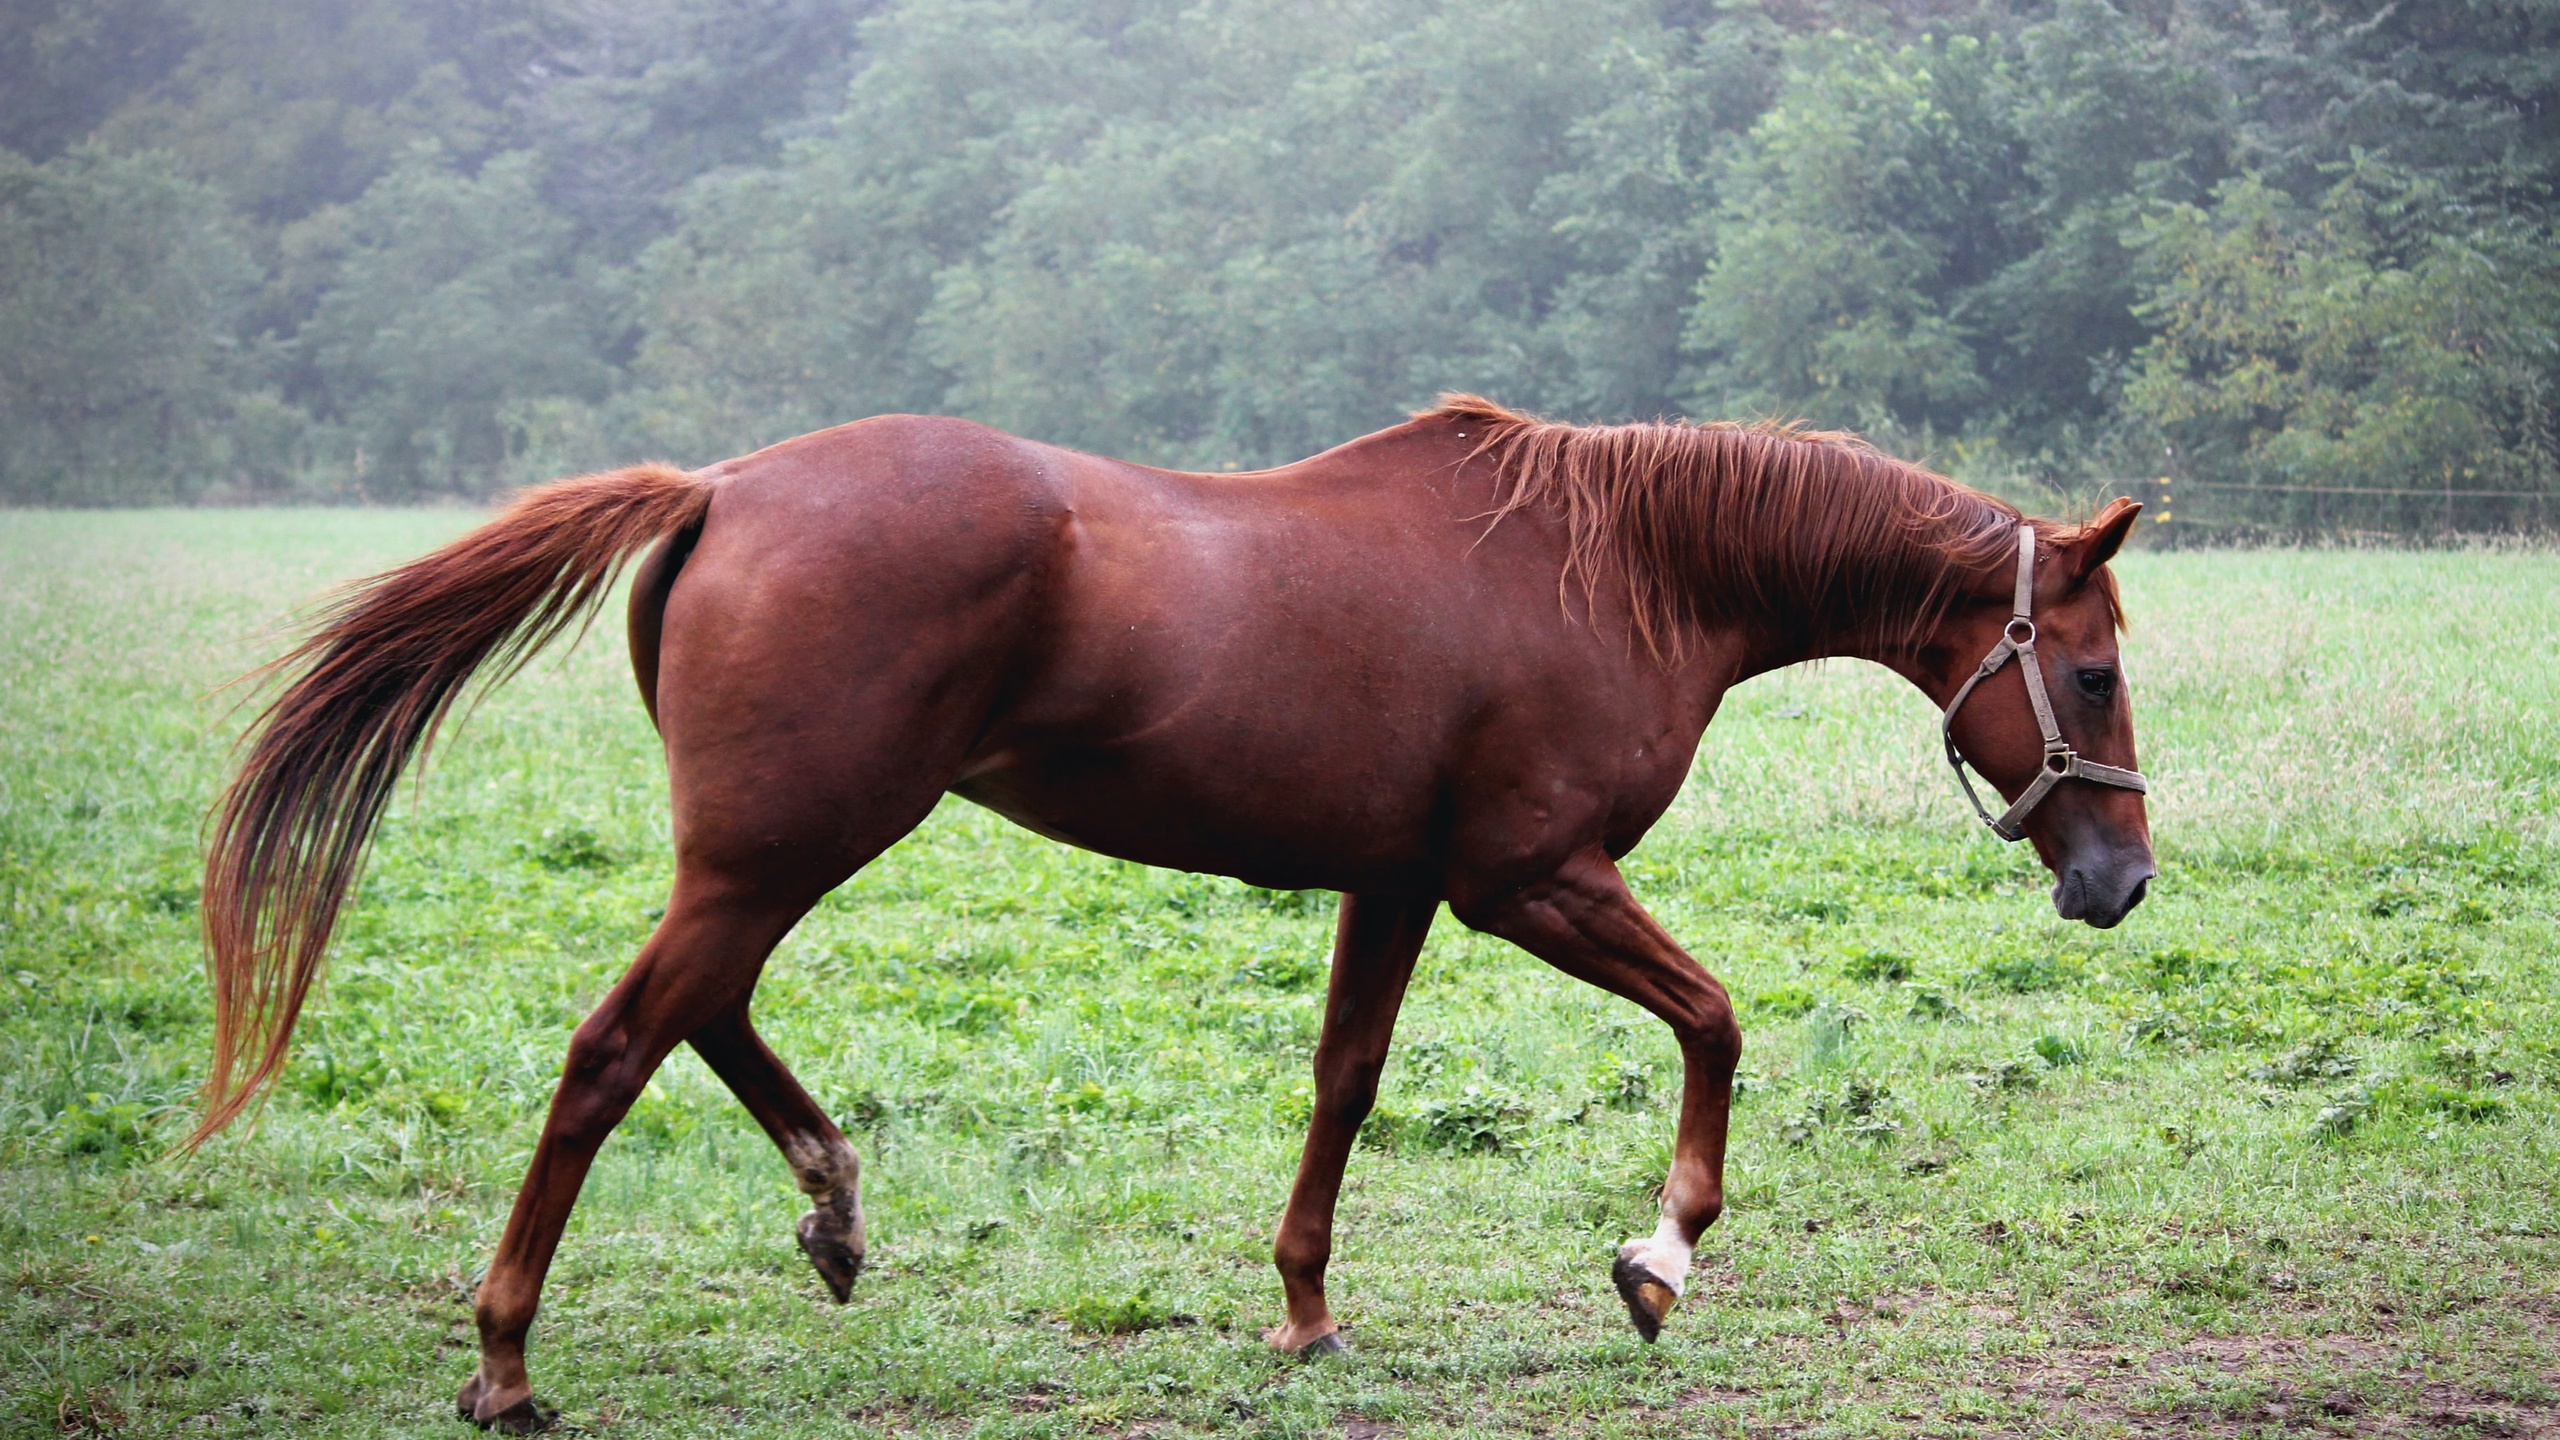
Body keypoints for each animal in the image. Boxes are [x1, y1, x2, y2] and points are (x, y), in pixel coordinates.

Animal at [194, 392, 2140, 1424]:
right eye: (2099, 672)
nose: (2119, 880)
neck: (1609, 572)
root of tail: (723, 486)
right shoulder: (1527, 880)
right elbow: (1718, 1019)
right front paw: (1658, 1257)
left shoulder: (1398, 884)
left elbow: (1344, 1085)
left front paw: (1303, 1310)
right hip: (786, 848)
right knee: (616, 1051)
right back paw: (506, 1357)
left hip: (771, 852)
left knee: (704, 1017)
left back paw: (832, 1205)